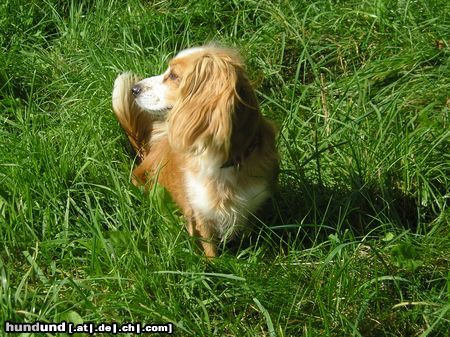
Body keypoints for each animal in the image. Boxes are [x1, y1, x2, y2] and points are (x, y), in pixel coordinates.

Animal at [111, 44, 278, 255]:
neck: (222, 163)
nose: (135, 89)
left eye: (174, 76)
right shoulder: (199, 214)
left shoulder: (252, 206)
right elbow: (210, 251)